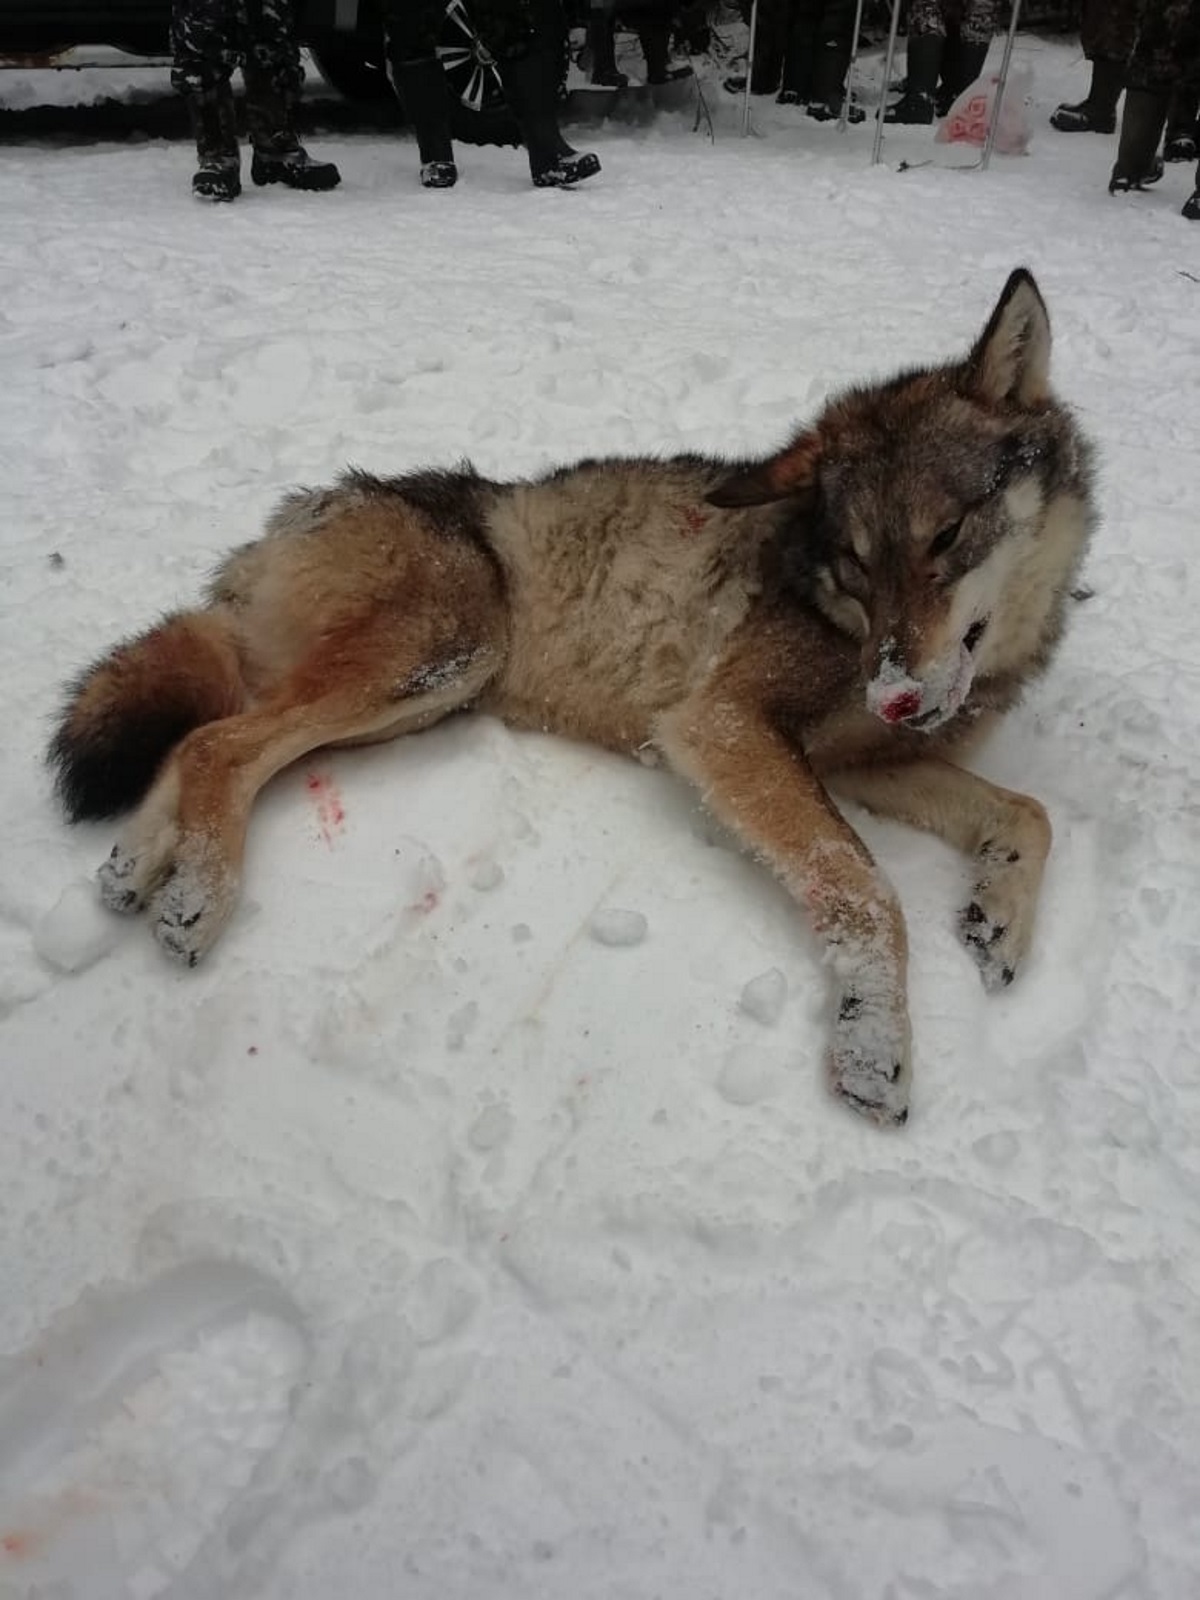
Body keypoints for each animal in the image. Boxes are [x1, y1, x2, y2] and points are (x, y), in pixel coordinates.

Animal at [49, 268, 1100, 1126]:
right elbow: (867, 890)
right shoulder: (725, 726)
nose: (896, 692)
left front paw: (999, 916)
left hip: (422, 697)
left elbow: (1031, 813)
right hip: (445, 657)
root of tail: (278, 528)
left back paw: (136, 868)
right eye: (855, 563)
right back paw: (198, 897)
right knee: (222, 744)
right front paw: (875, 1043)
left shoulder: (867, 761)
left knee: (208, 738)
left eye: (946, 537)